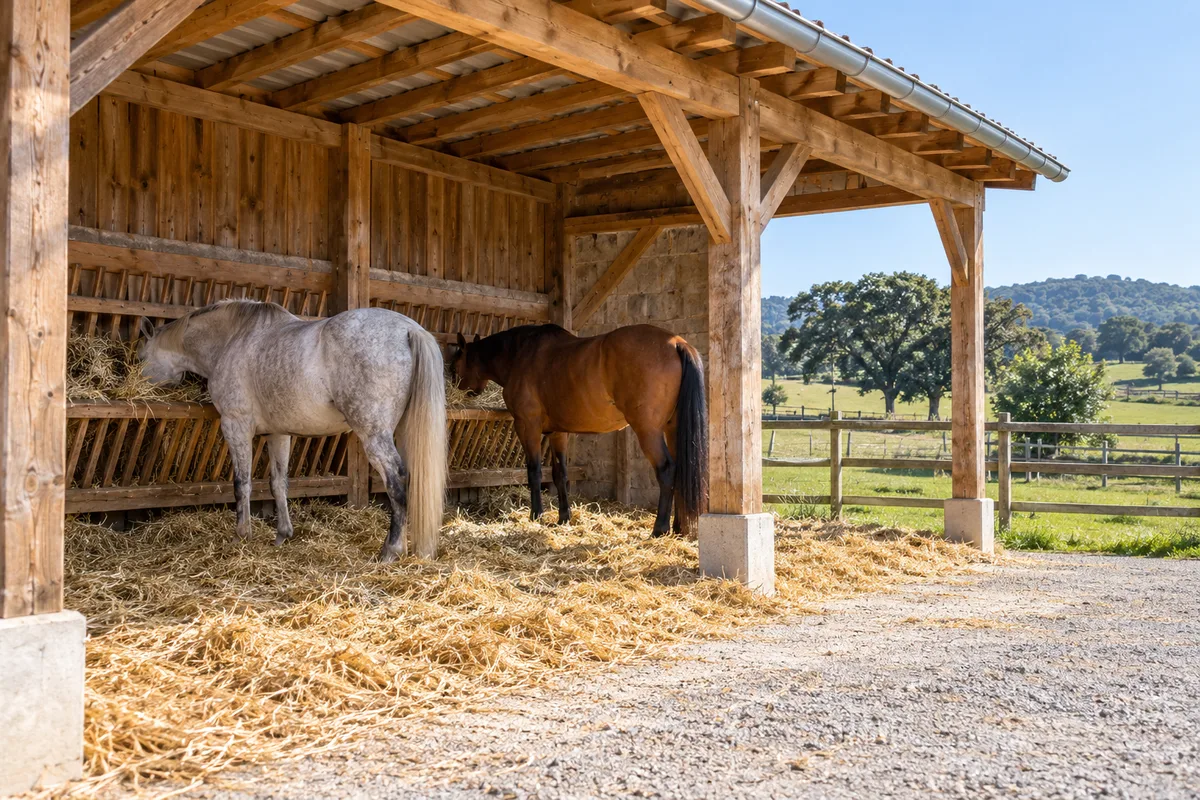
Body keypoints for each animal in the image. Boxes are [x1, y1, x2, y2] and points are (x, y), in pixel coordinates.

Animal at [139, 299, 447, 562]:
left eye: (141, 357)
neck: (232, 339)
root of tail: (410, 329)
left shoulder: (236, 425)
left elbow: (242, 484)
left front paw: (242, 535)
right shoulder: (279, 434)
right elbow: (279, 483)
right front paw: (282, 535)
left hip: (374, 435)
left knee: (397, 478)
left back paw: (391, 550)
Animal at [451, 324, 707, 537]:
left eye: (453, 367)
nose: (457, 389)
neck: (520, 355)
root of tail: (676, 343)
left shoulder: (527, 426)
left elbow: (534, 472)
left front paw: (537, 515)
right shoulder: (558, 433)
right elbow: (560, 474)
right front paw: (564, 517)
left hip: (648, 431)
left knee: (666, 470)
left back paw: (659, 529)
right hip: (672, 429)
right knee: (680, 470)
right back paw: (679, 528)